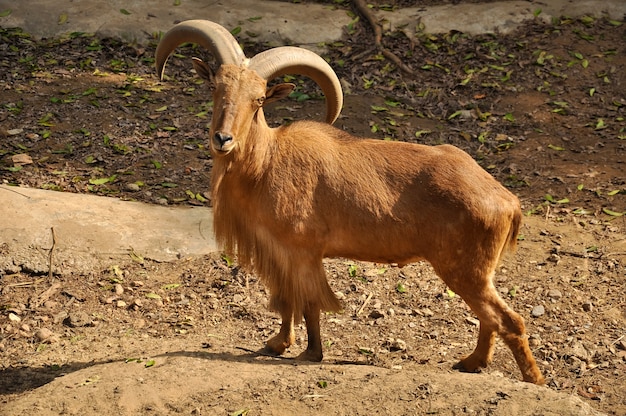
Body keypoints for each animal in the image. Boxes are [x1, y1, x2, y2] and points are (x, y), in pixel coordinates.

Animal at [155, 19, 540, 384]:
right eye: (215, 87)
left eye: (259, 100)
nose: (223, 139)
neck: (266, 163)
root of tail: (508, 200)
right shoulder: (280, 253)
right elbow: (285, 300)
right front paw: (278, 343)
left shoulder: (303, 252)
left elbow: (308, 302)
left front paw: (311, 353)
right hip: (477, 273)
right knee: (491, 319)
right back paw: (472, 363)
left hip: (465, 270)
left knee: (509, 320)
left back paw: (531, 378)